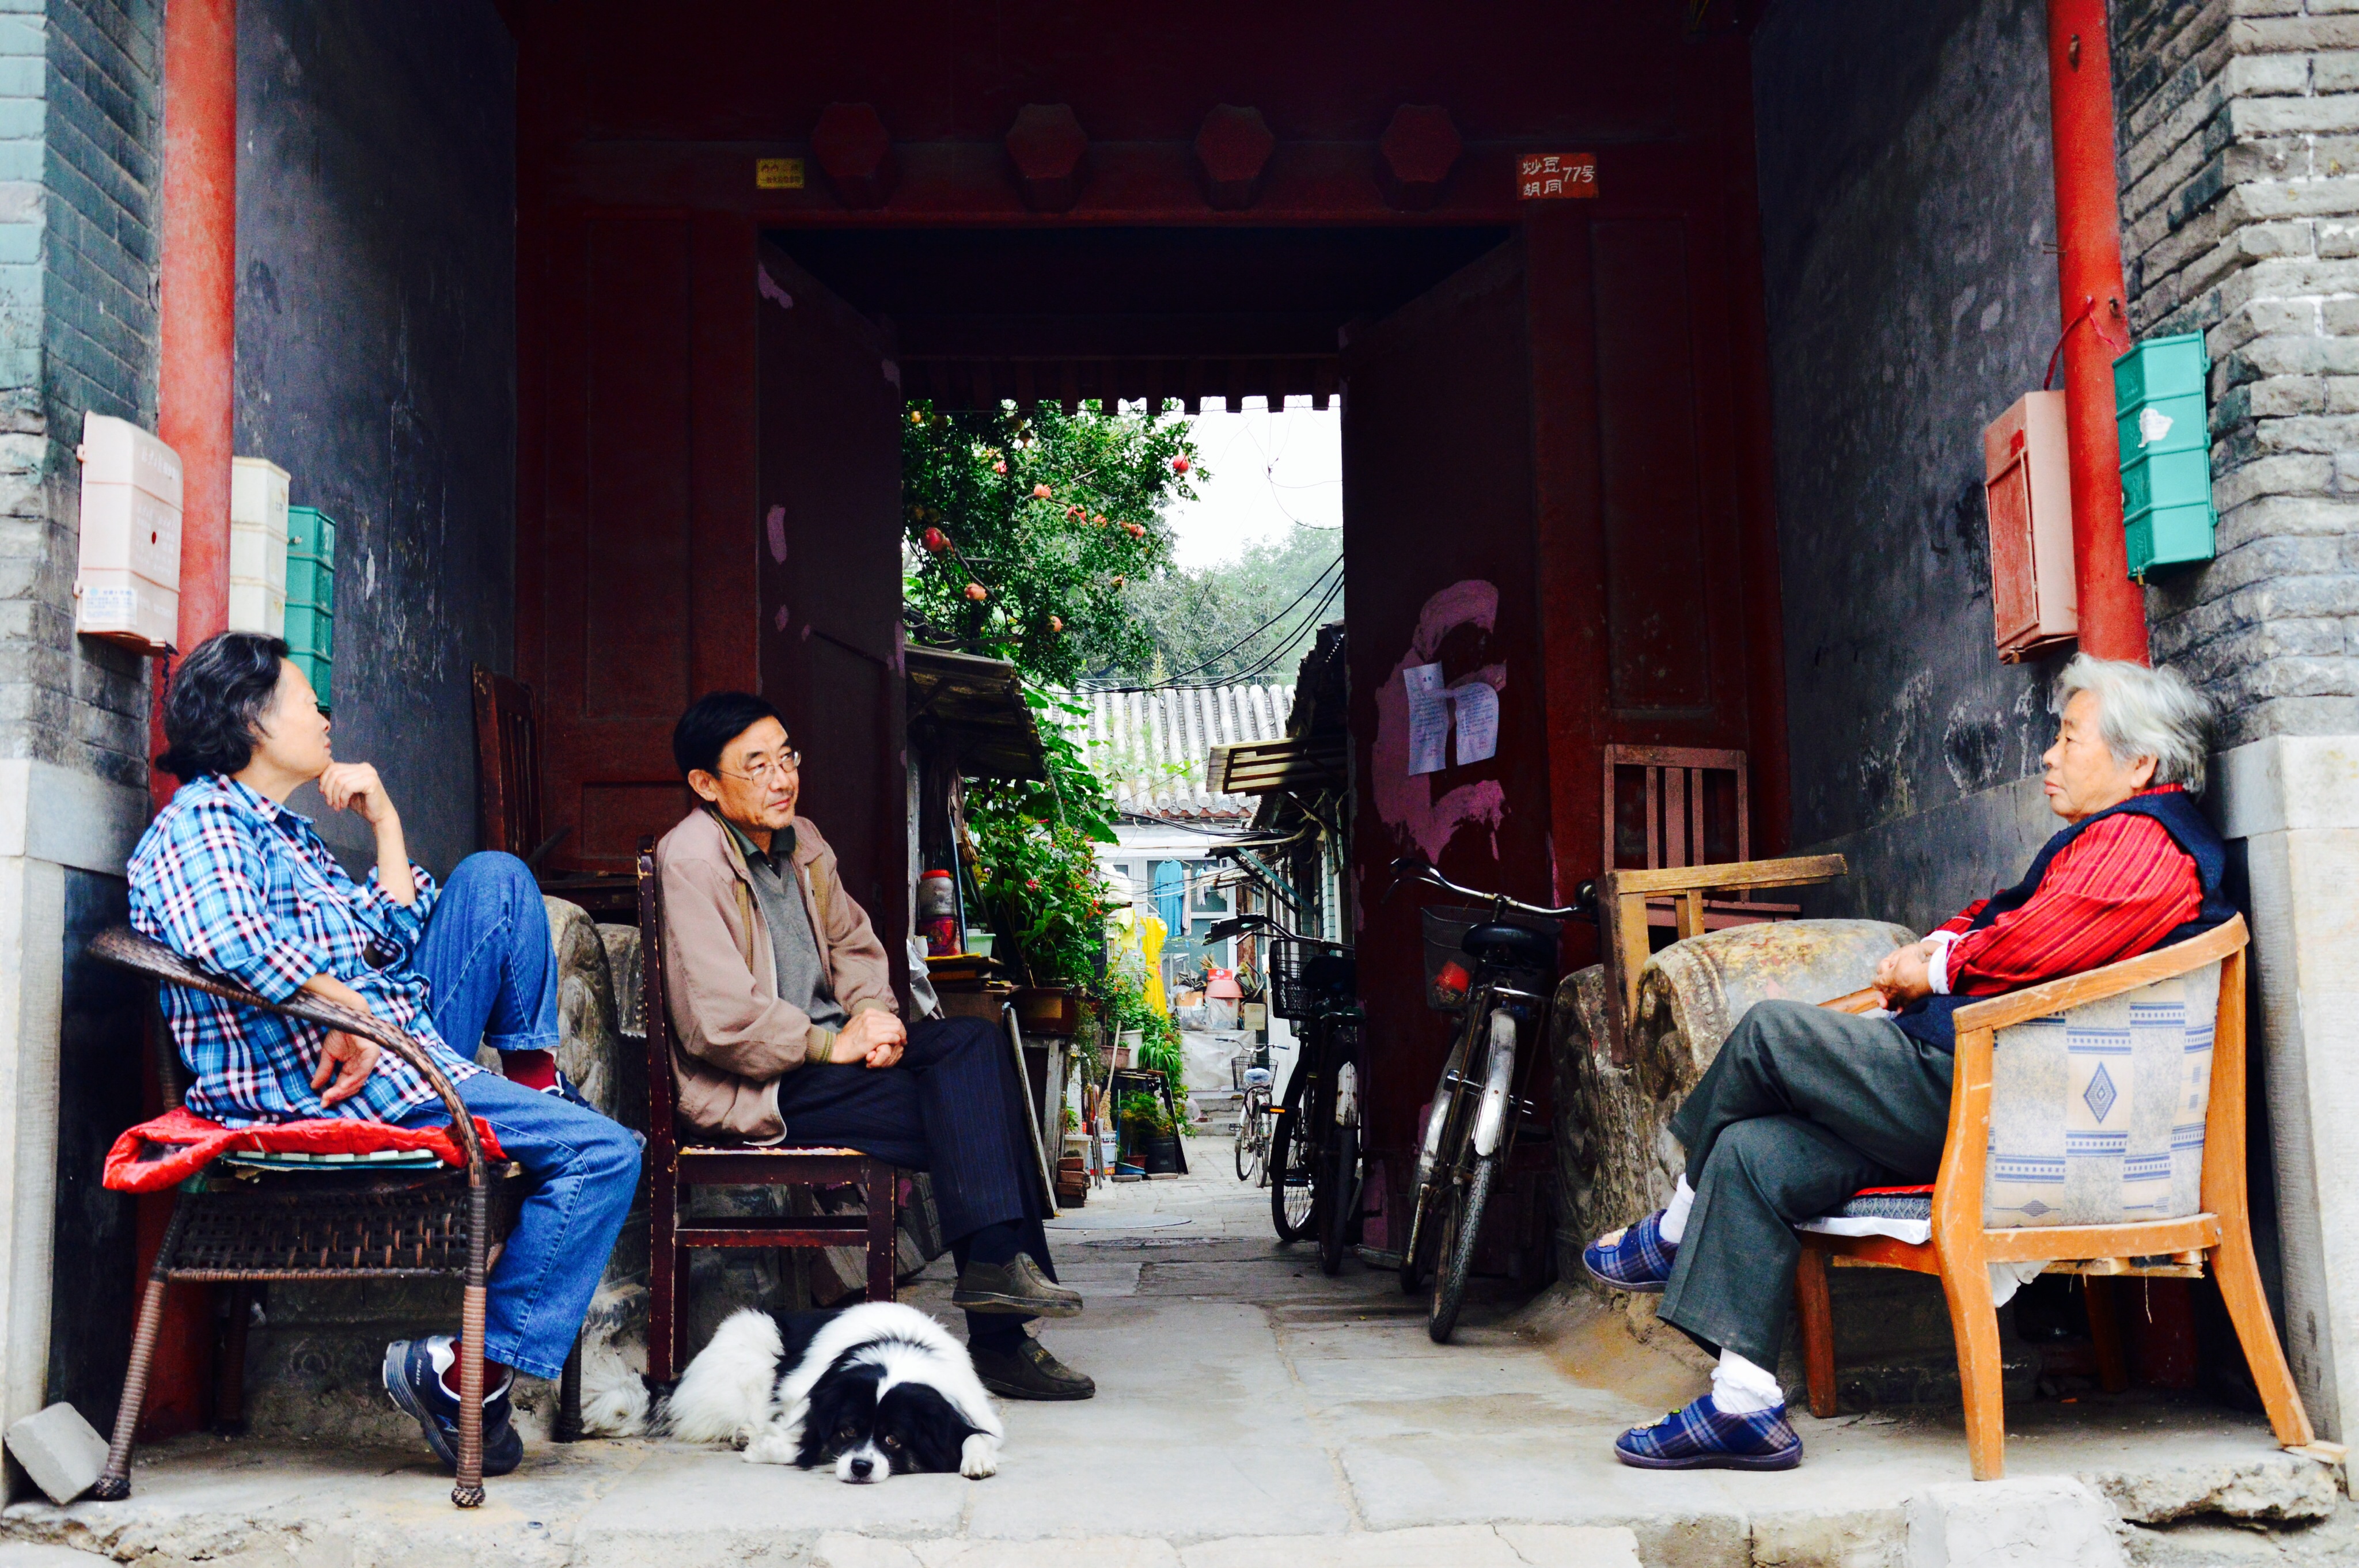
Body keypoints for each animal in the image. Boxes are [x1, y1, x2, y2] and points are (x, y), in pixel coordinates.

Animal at [649, 1303, 1001, 1482]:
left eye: (893, 1439)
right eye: (848, 1431)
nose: (860, 1467)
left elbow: (975, 1436)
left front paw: (977, 1460)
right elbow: (802, 1441)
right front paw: (764, 1447)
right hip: (753, 1342)